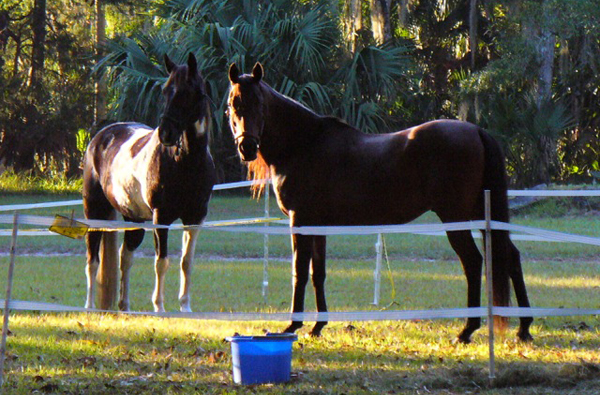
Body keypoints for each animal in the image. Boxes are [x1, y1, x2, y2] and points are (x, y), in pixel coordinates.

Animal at [82, 53, 216, 312]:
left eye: (186, 92)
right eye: (165, 91)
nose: (165, 134)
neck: (186, 163)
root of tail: (100, 137)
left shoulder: (195, 217)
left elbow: (186, 262)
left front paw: (185, 308)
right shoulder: (161, 217)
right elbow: (161, 262)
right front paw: (160, 308)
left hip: (133, 219)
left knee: (125, 256)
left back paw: (124, 306)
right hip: (95, 212)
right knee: (92, 260)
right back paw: (89, 306)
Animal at [229, 62, 536, 344]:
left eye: (259, 103)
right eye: (234, 103)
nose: (247, 147)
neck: (304, 144)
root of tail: (476, 131)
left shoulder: (300, 221)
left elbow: (300, 272)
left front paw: (293, 326)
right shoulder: (318, 226)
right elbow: (319, 273)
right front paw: (318, 326)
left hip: (456, 217)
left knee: (473, 262)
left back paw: (467, 330)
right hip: (481, 214)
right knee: (510, 256)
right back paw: (523, 328)